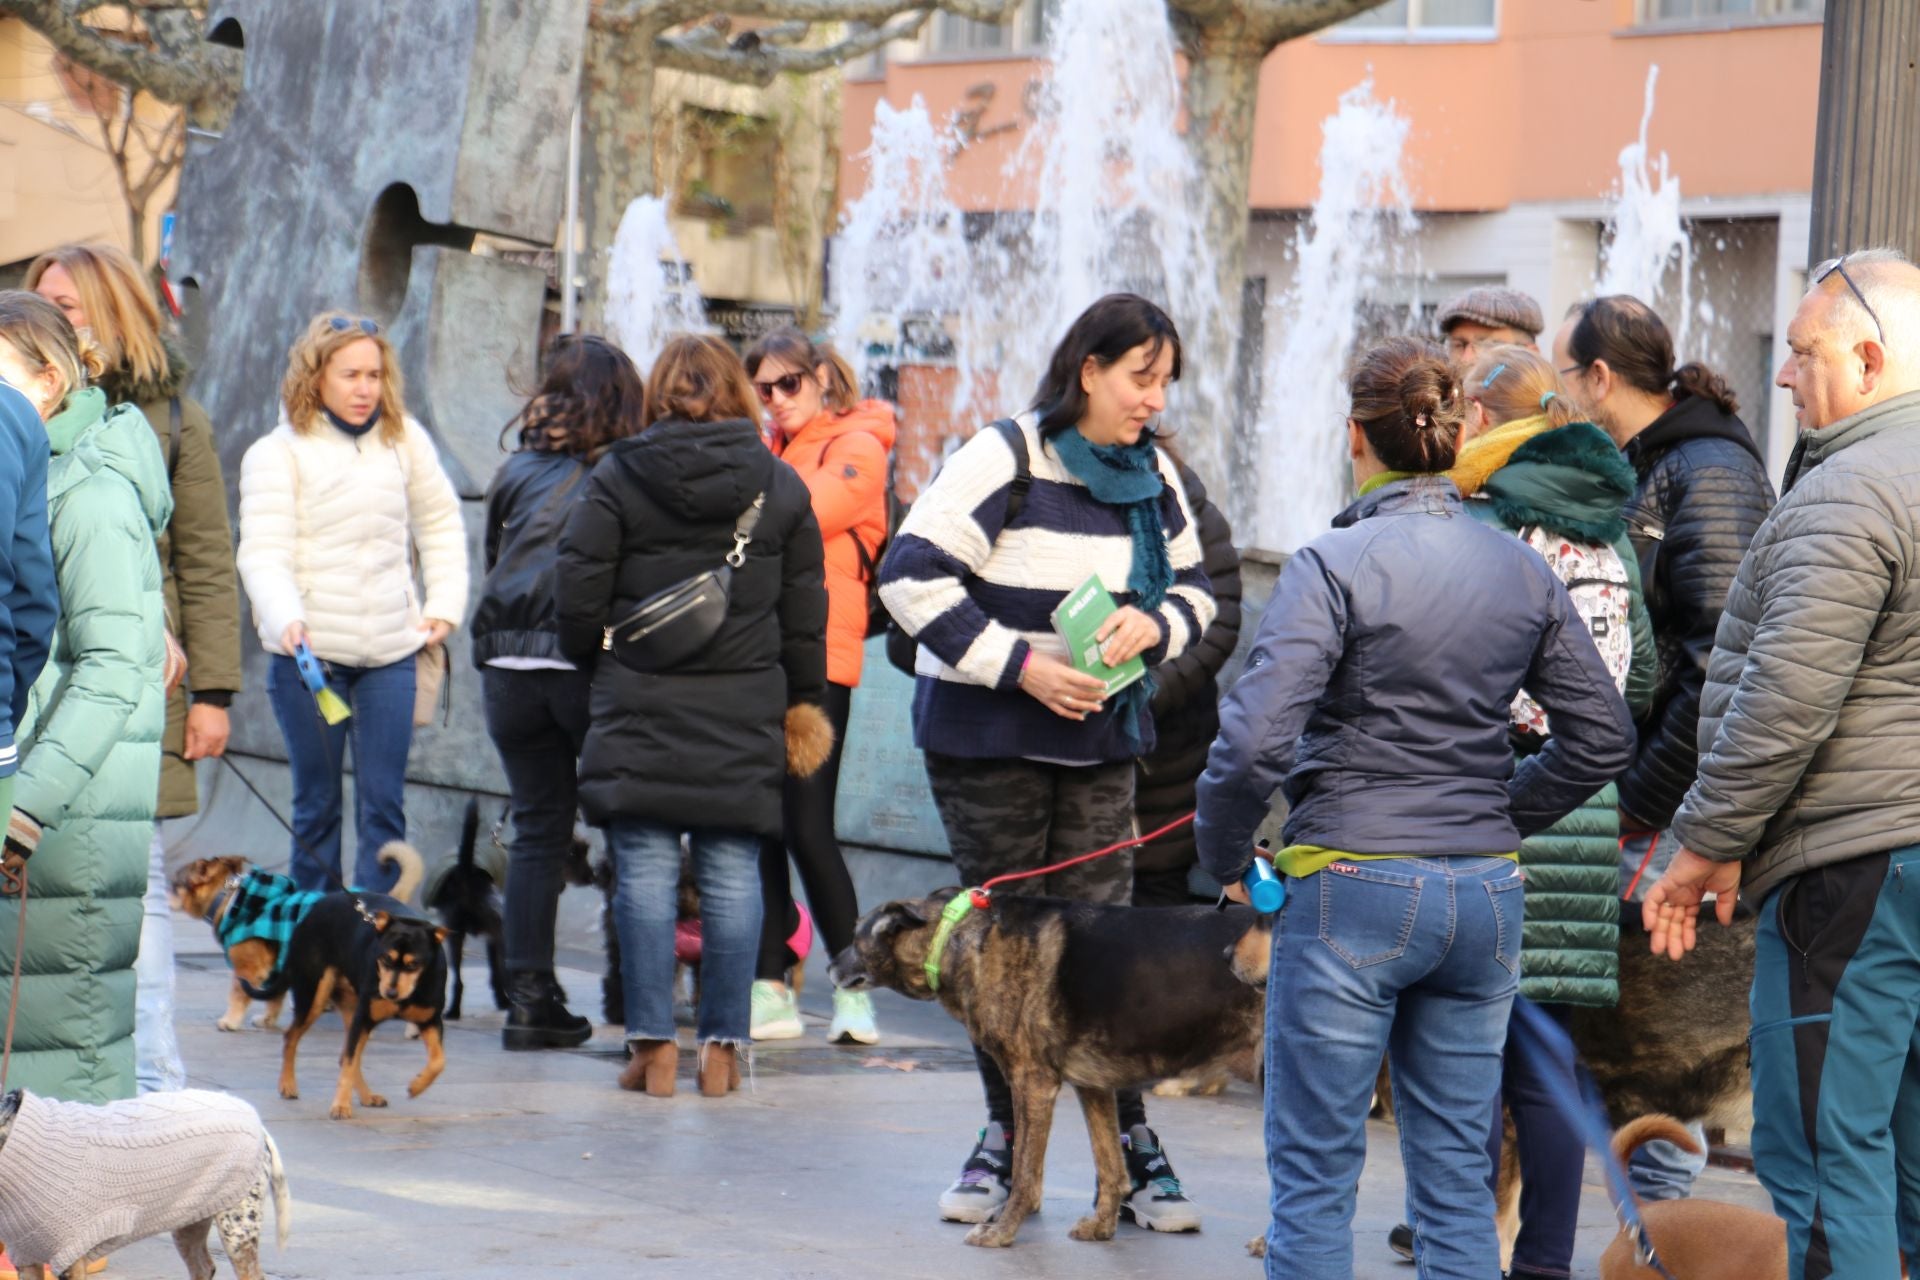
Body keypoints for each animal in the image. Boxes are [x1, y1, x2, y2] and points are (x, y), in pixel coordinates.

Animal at [0, 1090, 288, 1280]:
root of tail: (259, 1126)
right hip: (189, 1223)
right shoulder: (27, 1260)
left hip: (237, 1233)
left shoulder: (73, 1260)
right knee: (204, 1267)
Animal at [274, 890, 449, 1120]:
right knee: (292, 1037)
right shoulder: (364, 1017)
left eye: (414, 964)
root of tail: (320, 902)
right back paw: (287, 1085)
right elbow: (349, 1063)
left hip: (351, 1009)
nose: (390, 993)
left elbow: (438, 1061)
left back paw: (367, 1097)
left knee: (345, 1055)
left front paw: (416, 1086)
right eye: (385, 958)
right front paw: (340, 1106)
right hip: (314, 996)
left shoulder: (430, 1021)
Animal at [833, 890, 1267, 1251]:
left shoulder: (1032, 1083)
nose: (830, 966)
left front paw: (1002, 1232)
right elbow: (1110, 1166)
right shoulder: (1094, 1085)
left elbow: (1026, 1173)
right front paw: (1102, 1226)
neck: (956, 935)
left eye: (856, 935)